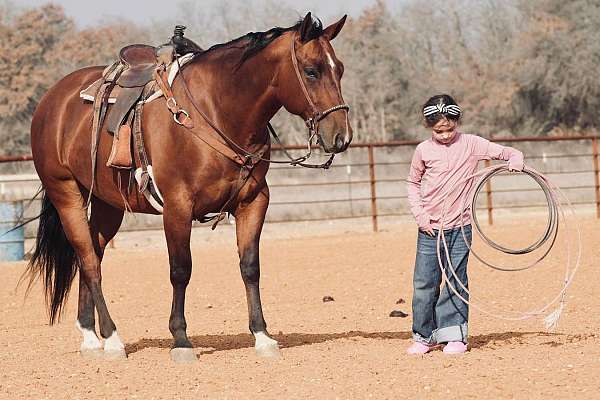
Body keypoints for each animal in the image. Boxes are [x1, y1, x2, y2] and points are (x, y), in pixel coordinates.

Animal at [25, 13, 352, 362]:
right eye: (311, 70)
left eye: (339, 69)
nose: (341, 136)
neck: (217, 110)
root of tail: (52, 100)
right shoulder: (177, 208)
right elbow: (180, 270)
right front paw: (181, 340)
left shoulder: (253, 202)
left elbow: (250, 267)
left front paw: (262, 336)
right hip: (66, 195)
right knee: (87, 260)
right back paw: (112, 338)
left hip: (107, 204)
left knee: (93, 256)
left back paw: (90, 335)